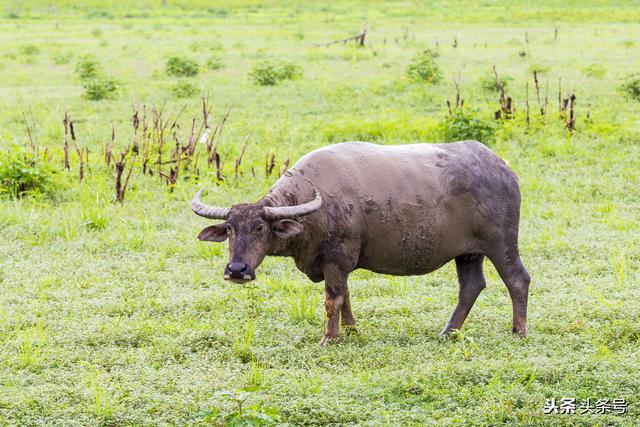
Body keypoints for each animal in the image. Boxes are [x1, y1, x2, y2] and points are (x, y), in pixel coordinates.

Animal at [191, 142, 528, 346]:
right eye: (230, 228)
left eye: (260, 227)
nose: (237, 269)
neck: (314, 207)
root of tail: (503, 168)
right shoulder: (338, 266)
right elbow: (346, 297)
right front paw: (351, 330)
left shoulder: (336, 259)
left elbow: (332, 300)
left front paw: (329, 338)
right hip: (468, 253)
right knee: (471, 286)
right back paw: (448, 331)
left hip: (502, 244)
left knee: (517, 280)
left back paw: (518, 331)